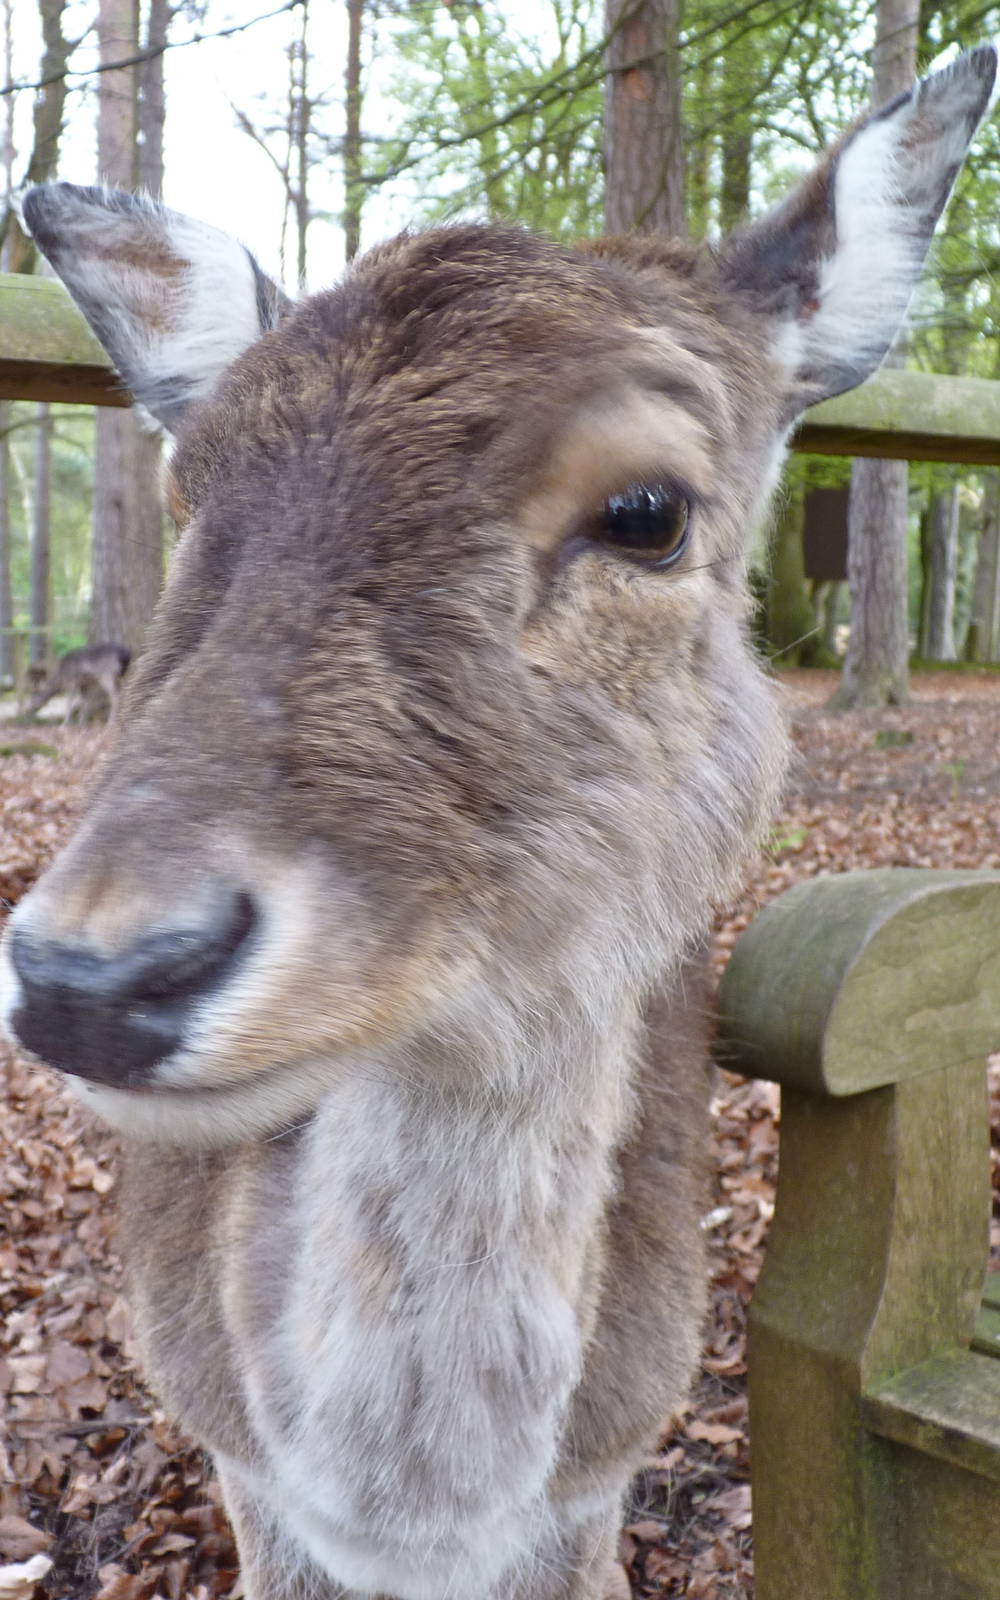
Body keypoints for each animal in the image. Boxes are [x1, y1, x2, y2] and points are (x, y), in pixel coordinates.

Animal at [1, 45, 995, 1600]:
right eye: (185, 489)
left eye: (649, 508)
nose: (95, 972)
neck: (419, 1523)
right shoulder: (236, 1463)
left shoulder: (605, 1476)